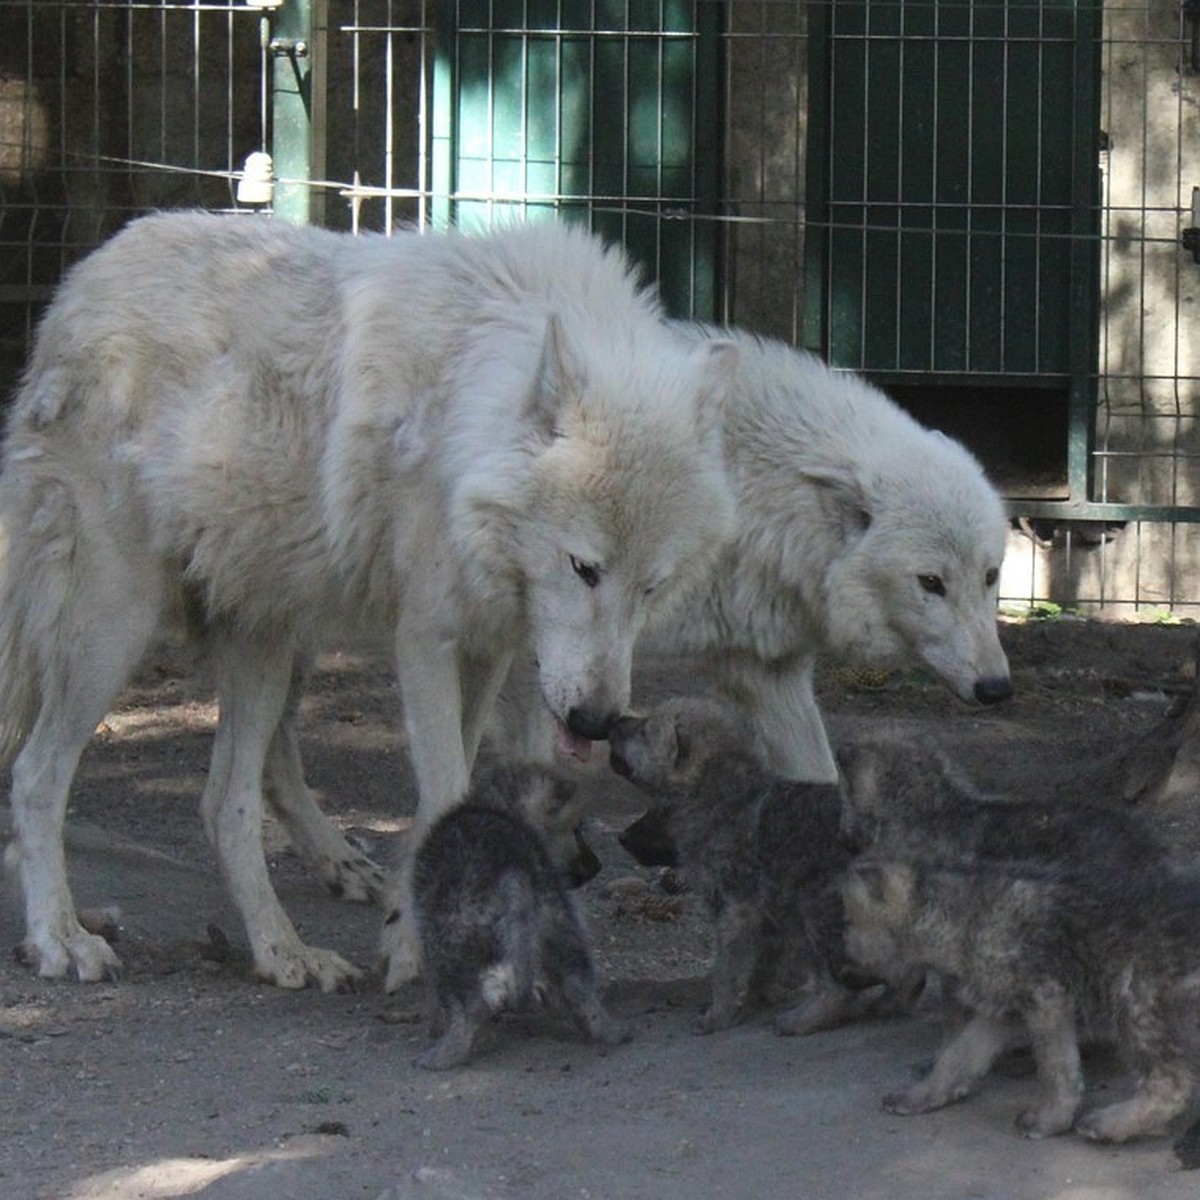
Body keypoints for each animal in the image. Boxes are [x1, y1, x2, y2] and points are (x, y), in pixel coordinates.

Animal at [0, 213, 734, 993]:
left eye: (650, 586)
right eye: (584, 568)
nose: (595, 721)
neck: (467, 407)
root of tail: (75, 288)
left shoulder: (490, 648)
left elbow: (458, 792)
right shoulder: (427, 638)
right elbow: (445, 789)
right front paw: (419, 952)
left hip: (270, 637)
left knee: (228, 799)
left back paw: (286, 948)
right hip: (115, 628)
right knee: (39, 774)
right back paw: (61, 938)